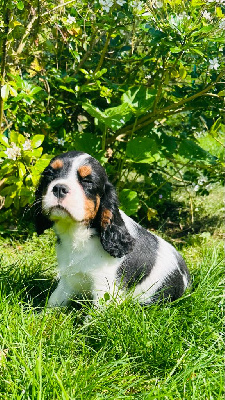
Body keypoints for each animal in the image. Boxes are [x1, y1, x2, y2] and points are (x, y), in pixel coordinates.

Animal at [34, 151, 190, 306]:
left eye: (87, 181)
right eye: (49, 175)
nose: (59, 188)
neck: (78, 234)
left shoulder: (105, 288)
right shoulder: (67, 280)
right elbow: (53, 302)